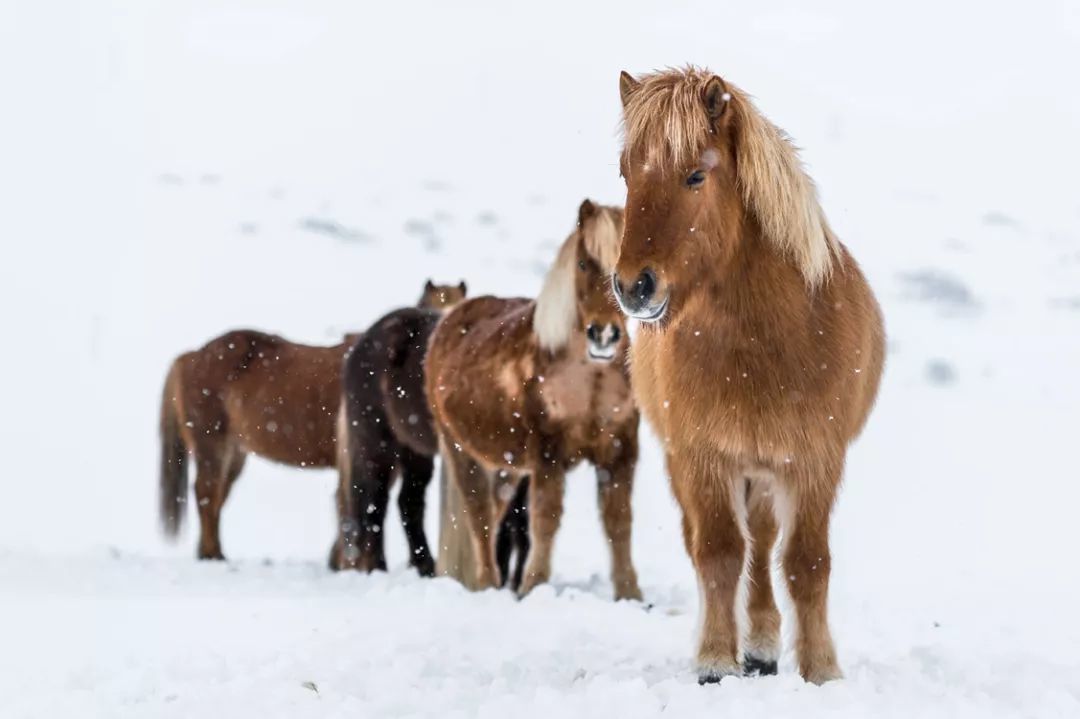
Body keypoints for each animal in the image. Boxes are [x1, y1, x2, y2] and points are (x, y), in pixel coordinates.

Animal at [158, 280, 464, 561]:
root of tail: (192, 356)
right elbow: (351, 505)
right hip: (213, 445)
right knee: (206, 495)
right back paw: (214, 555)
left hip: (235, 453)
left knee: (216, 498)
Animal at [421, 198, 639, 595]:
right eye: (583, 264)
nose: (604, 335)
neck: (590, 378)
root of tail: (448, 320)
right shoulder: (547, 454)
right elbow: (546, 518)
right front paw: (533, 586)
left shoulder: (621, 450)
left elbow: (619, 522)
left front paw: (631, 595)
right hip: (462, 451)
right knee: (479, 516)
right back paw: (488, 584)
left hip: (506, 466)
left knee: (493, 511)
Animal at [613, 68, 881, 682]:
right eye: (625, 172)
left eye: (695, 174)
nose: (633, 286)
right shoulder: (704, 457)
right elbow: (717, 553)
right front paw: (715, 660)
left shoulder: (815, 460)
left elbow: (807, 562)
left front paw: (820, 669)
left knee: (763, 542)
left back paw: (761, 644)